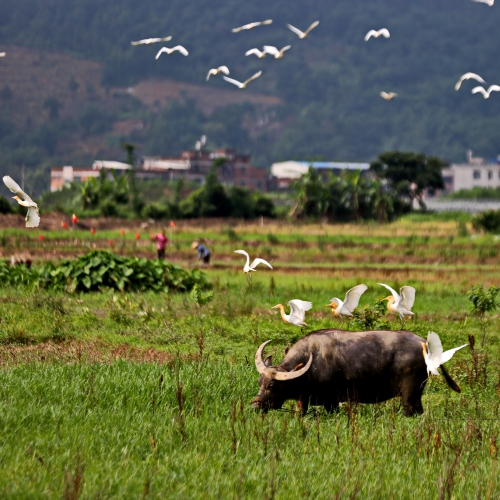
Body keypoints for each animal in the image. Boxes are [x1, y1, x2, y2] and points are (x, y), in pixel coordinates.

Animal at [254, 330, 460, 416]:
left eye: (272, 385)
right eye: (259, 382)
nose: (255, 406)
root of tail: (424, 343)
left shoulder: (332, 401)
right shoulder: (303, 399)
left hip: (409, 393)